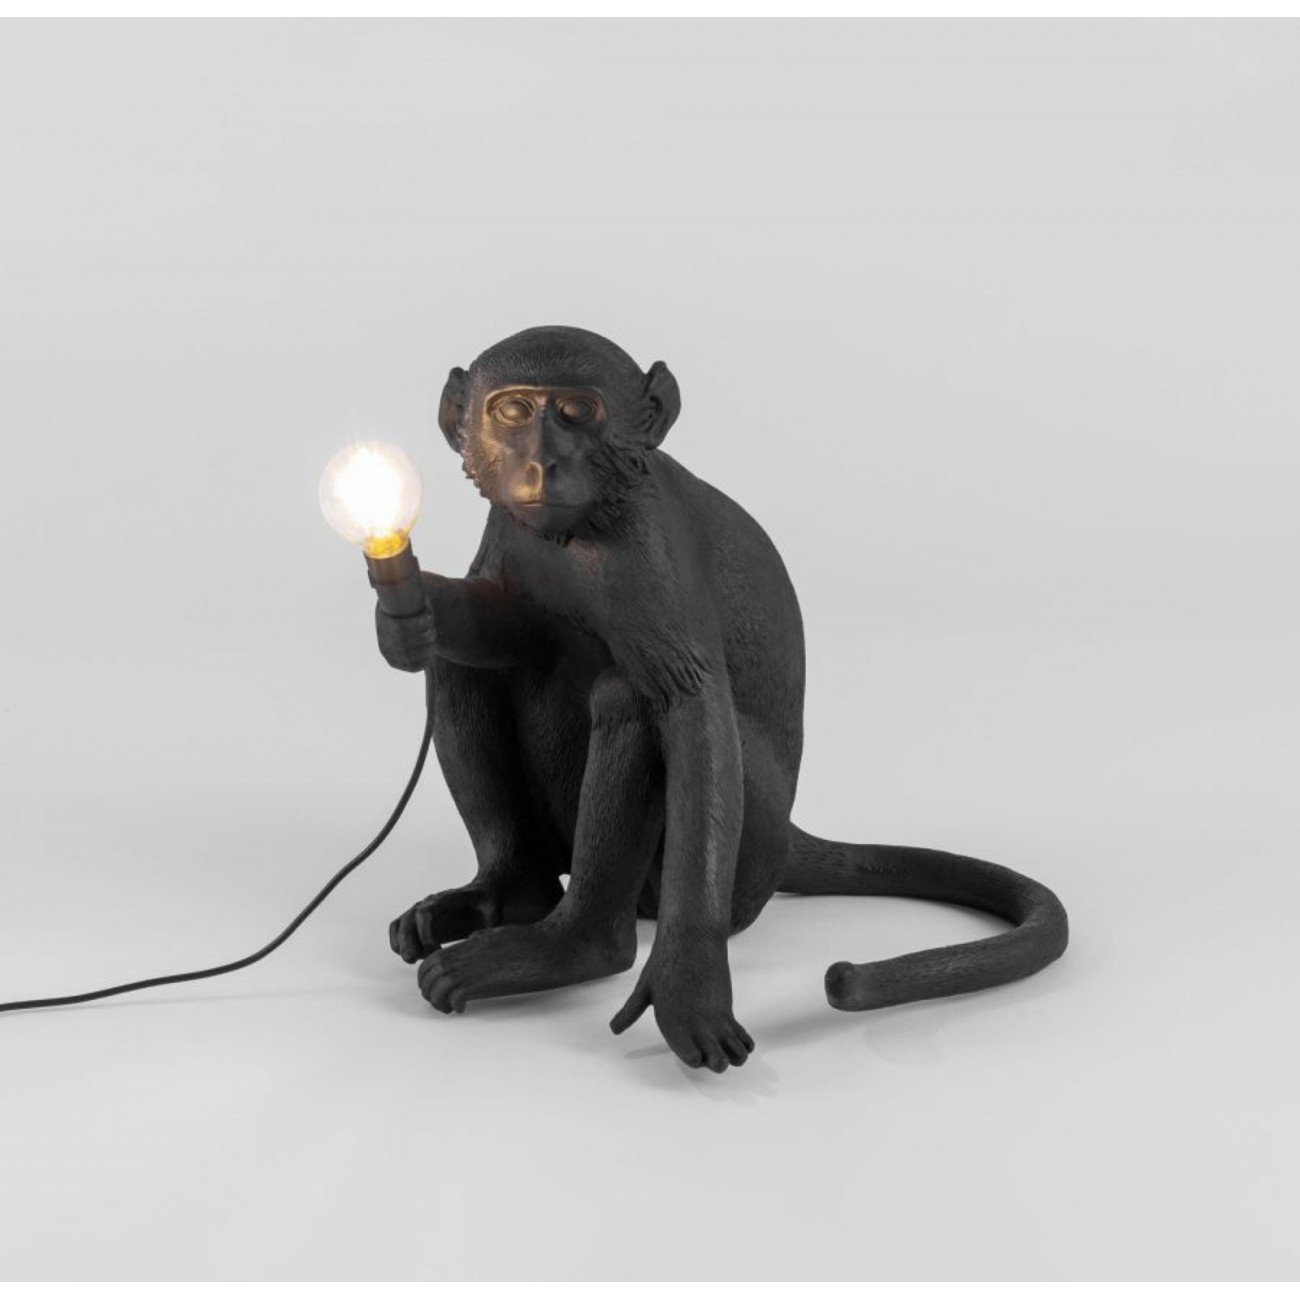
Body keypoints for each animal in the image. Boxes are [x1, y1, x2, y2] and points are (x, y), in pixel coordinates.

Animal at [378, 326, 1068, 1072]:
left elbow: (689, 707)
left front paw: (689, 980)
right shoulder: (510, 528)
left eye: (576, 412)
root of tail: (787, 835)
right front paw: (417, 609)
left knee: (628, 698)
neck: (585, 523)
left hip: (747, 853)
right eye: (511, 411)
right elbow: (502, 625)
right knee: (463, 670)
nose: (541, 463)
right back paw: (510, 892)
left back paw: (577, 945)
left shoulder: (644, 550)